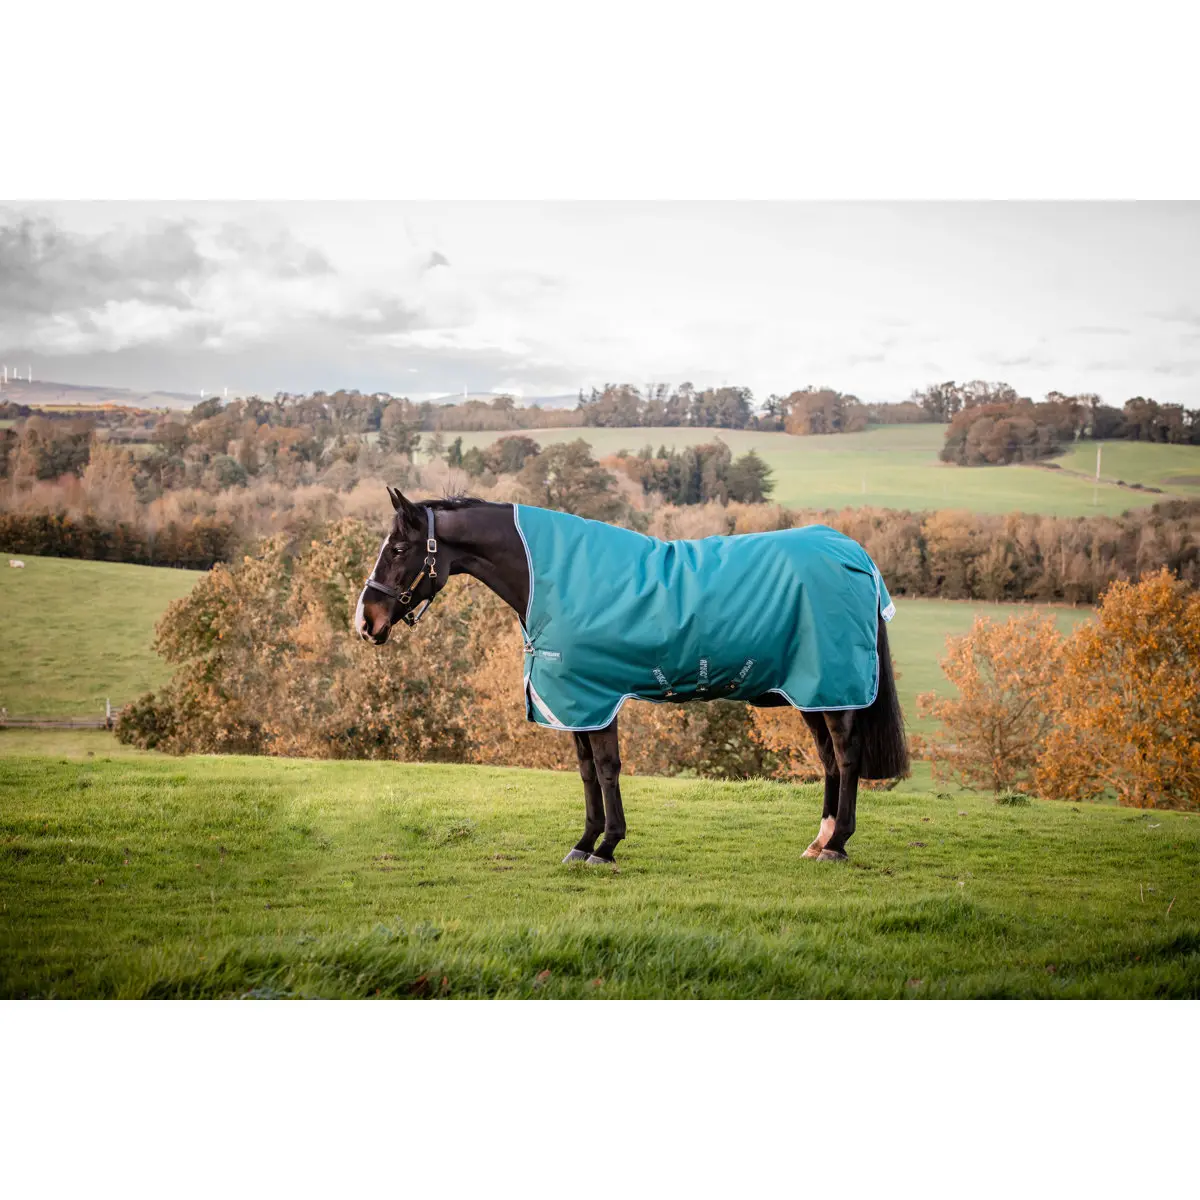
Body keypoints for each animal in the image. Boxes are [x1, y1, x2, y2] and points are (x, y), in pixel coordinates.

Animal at [356, 489, 908, 866]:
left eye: (399, 549)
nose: (366, 621)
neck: (552, 577)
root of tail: (854, 554)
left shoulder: (596, 697)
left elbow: (606, 768)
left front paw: (607, 846)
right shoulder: (576, 704)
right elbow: (585, 772)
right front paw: (583, 843)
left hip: (833, 687)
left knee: (847, 756)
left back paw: (838, 843)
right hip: (810, 691)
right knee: (830, 760)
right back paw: (820, 840)